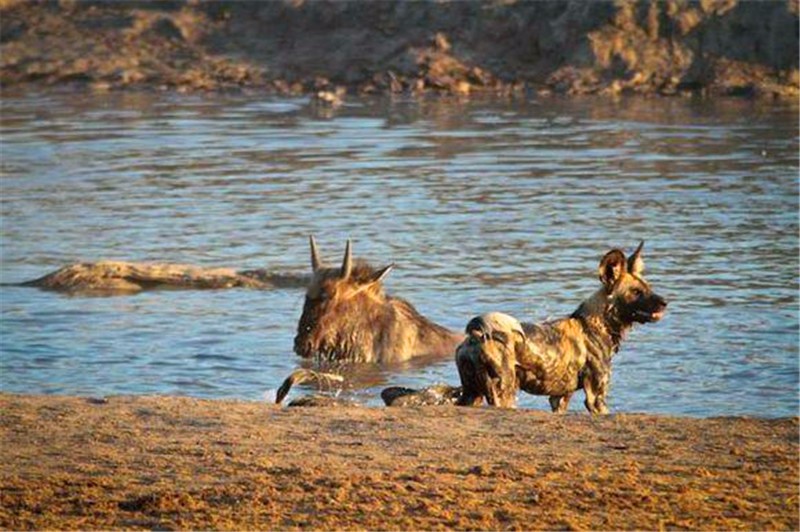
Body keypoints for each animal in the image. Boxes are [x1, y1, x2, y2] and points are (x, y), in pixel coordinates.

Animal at [456, 243, 668, 414]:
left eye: (648, 288)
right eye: (636, 292)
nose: (665, 303)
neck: (596, 325)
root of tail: (475, 336)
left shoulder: (559, 398)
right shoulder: (596, 398)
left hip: (472, 395)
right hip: (504, 394)